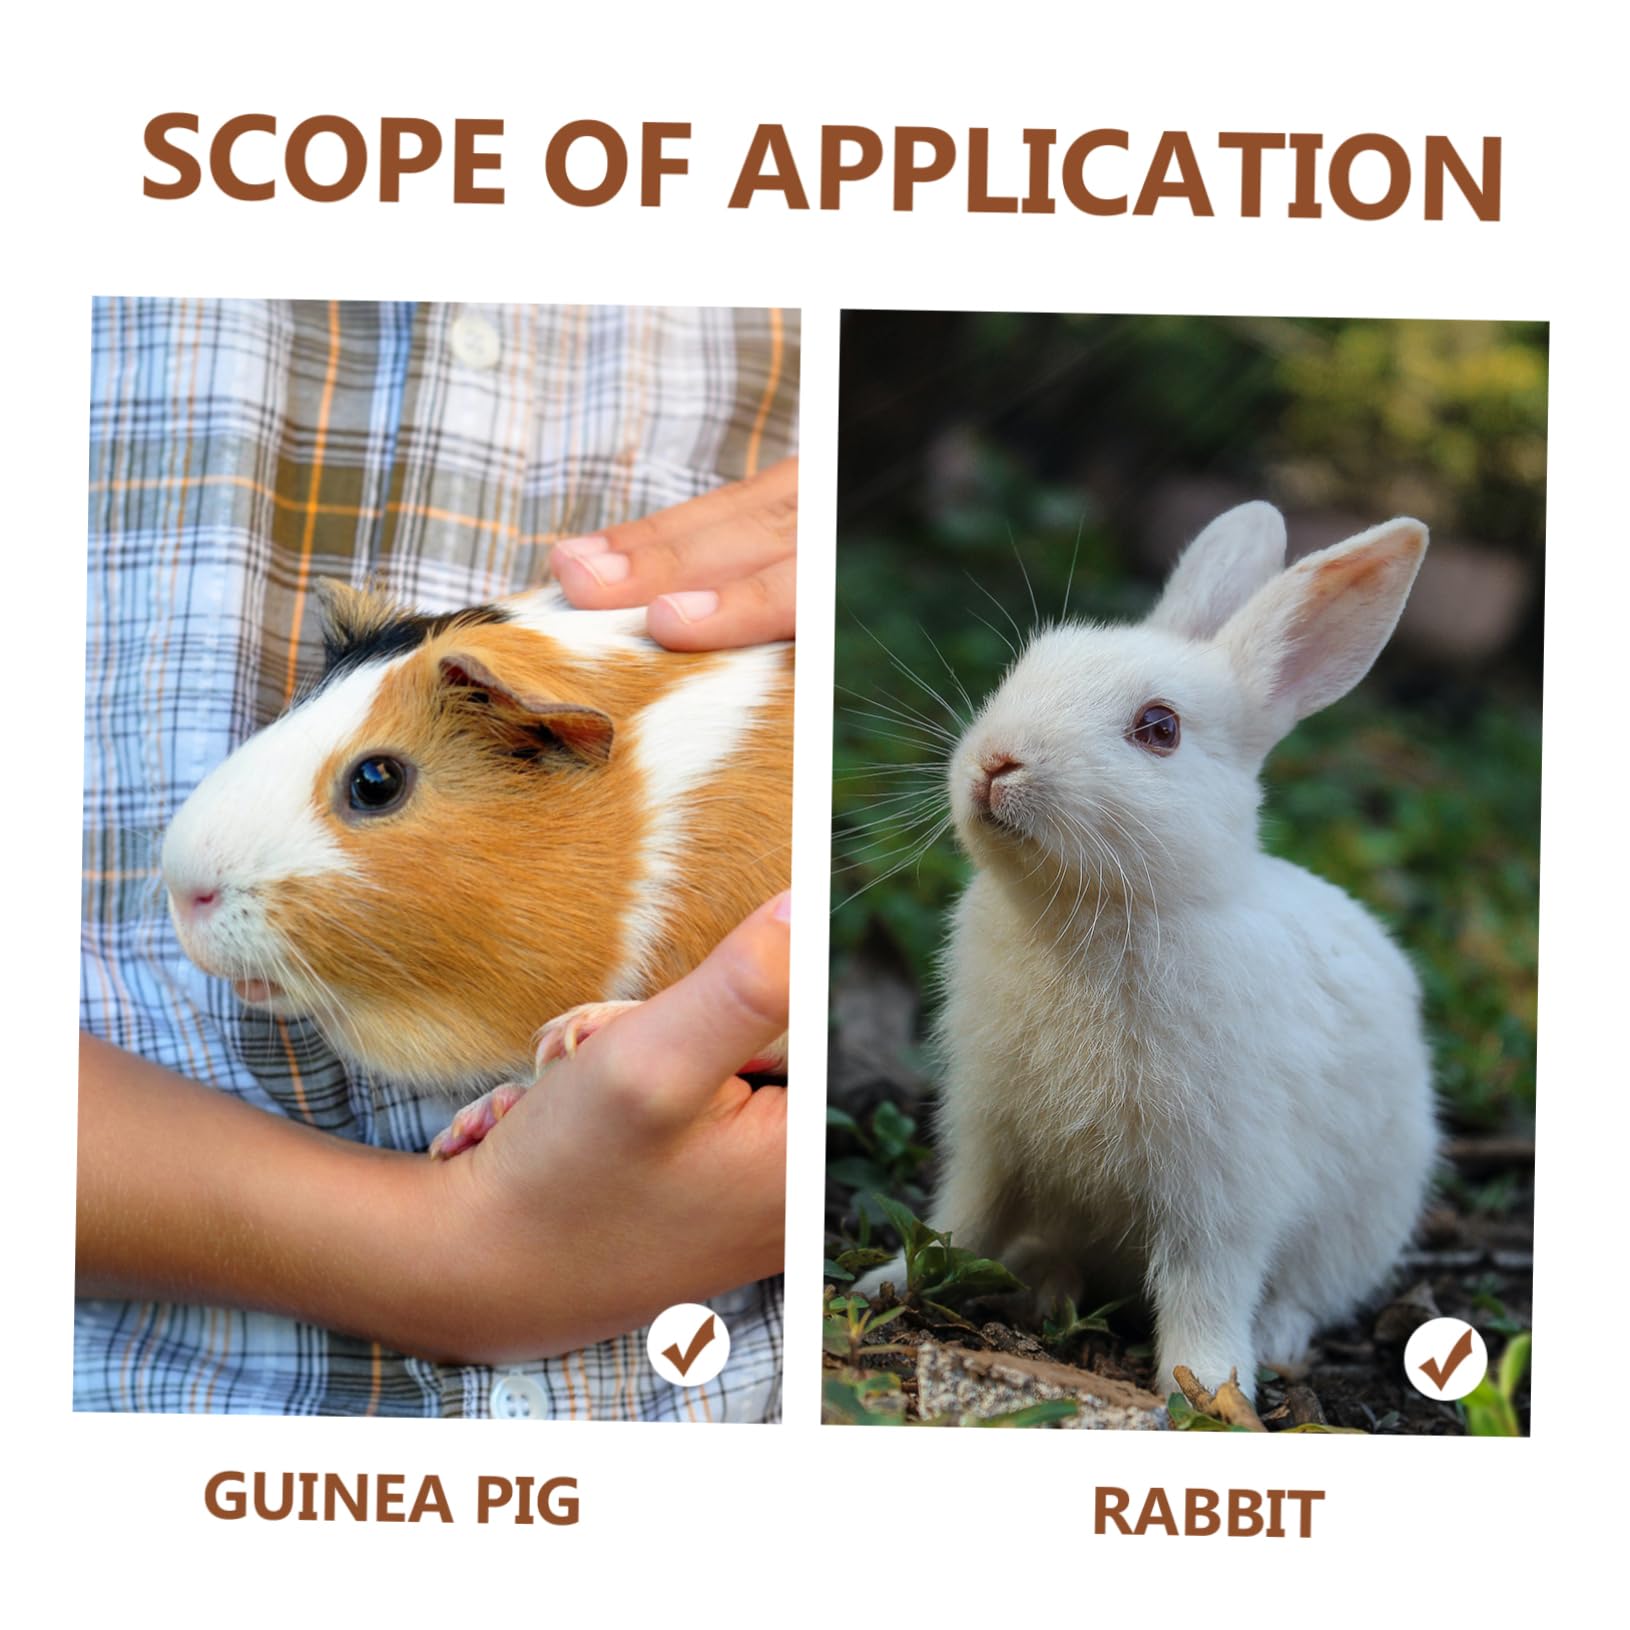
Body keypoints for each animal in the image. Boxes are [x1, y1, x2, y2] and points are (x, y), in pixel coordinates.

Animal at [856, 502, 1437, 1403]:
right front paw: (886, 1283)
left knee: (1307, 1292)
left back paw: (1273, 1340)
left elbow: (1207, 1282)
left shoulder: (1222, 1184)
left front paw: (1206, 1387)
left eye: (1159, 729)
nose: (996, 761)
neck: (1089, 915)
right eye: (1027, 668)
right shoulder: (989, 1137)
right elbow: (961, 1218)